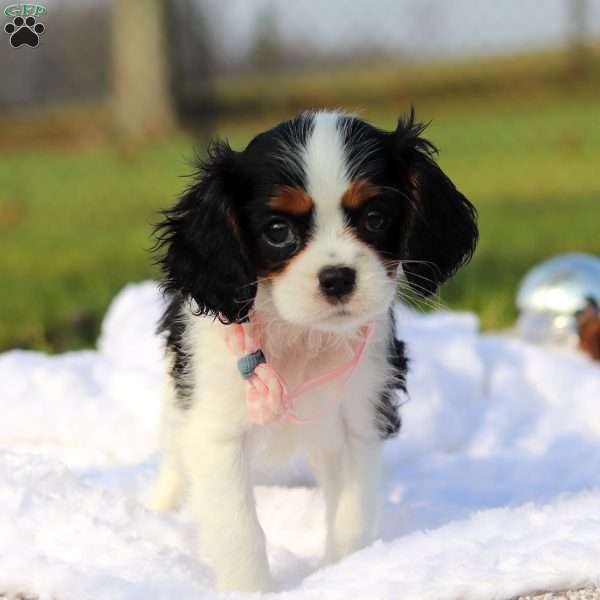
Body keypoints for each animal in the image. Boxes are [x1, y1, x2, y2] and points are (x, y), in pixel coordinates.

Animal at [146, 110, 478, 592]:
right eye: (278, 231)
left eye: (375, 218)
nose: (337, 277)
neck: (302, 336)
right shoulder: (216, 431)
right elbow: (239, 530)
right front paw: (250, 589)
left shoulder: (359, 418)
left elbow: (351, 518)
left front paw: (345, 573)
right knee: (173, 453)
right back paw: (159, 508)